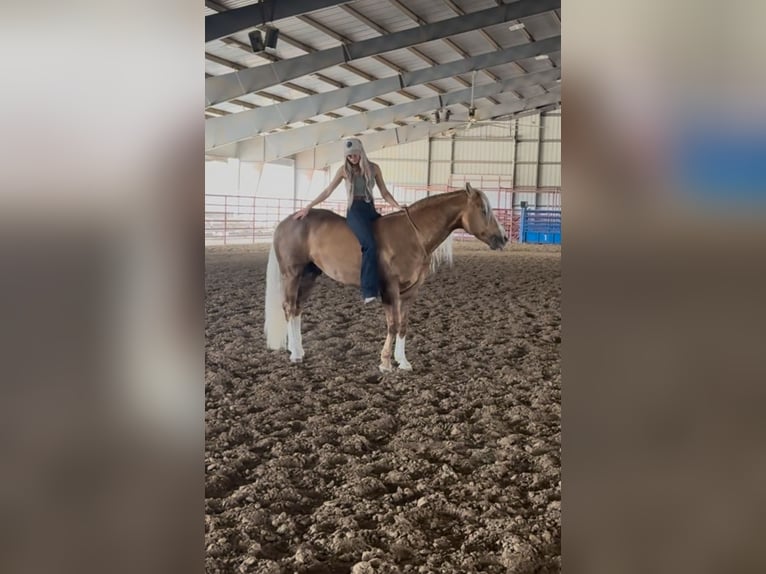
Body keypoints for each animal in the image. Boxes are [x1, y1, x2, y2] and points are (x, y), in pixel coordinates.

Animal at [264, 184, 510, 374]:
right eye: (483, 209)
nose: (504, 238)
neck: (413, 235)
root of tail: (287, 221)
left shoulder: (410, 292)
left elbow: (403, 325)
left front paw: (403, 362)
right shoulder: (390, 290)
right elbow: (392, 325)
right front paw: (385, 363)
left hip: (309, 276)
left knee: (297, 309)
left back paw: (298, 349)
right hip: (292, 274)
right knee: (289, 307)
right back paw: (295, 355)